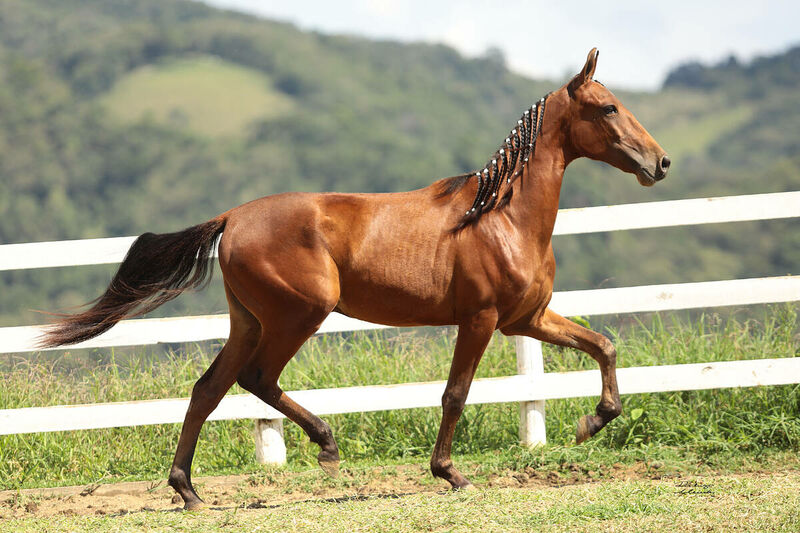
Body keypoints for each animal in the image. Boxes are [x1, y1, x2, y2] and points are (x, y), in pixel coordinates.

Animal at [42, 48, 668, 508]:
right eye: (608, 108)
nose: (659, 163)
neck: (501, 217)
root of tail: (231, 218)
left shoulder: (527, 319)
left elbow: (603, 344)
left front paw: (590, 424)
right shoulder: (482, 319)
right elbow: (456, 393)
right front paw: (450, 474)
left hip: (249, 321)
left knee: (208, 388)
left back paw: (189, 491)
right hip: (300, 313)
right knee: (256, 378)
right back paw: (325, 447)